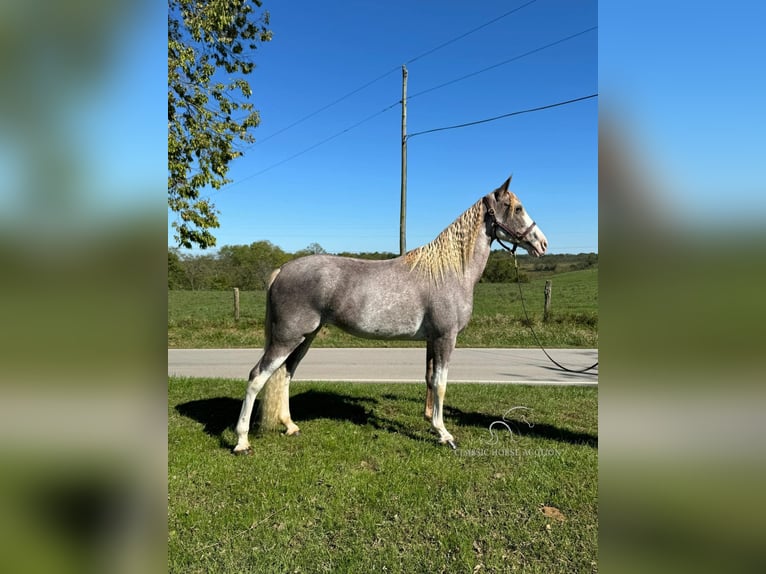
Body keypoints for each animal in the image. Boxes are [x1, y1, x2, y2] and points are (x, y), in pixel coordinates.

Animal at [234, 176, 544, 454]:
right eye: (517, 208)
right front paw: (444, 434)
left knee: (286, 374)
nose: (542, 244)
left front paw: (431, 423)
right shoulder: (446, 338)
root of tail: (282, 271)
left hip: (305, 337)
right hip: (286, 338)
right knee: (257, 376)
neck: (449, 271)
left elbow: (430, 379)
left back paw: (290, 426)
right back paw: (242, 442)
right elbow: (441, 384)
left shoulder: (432, 340)